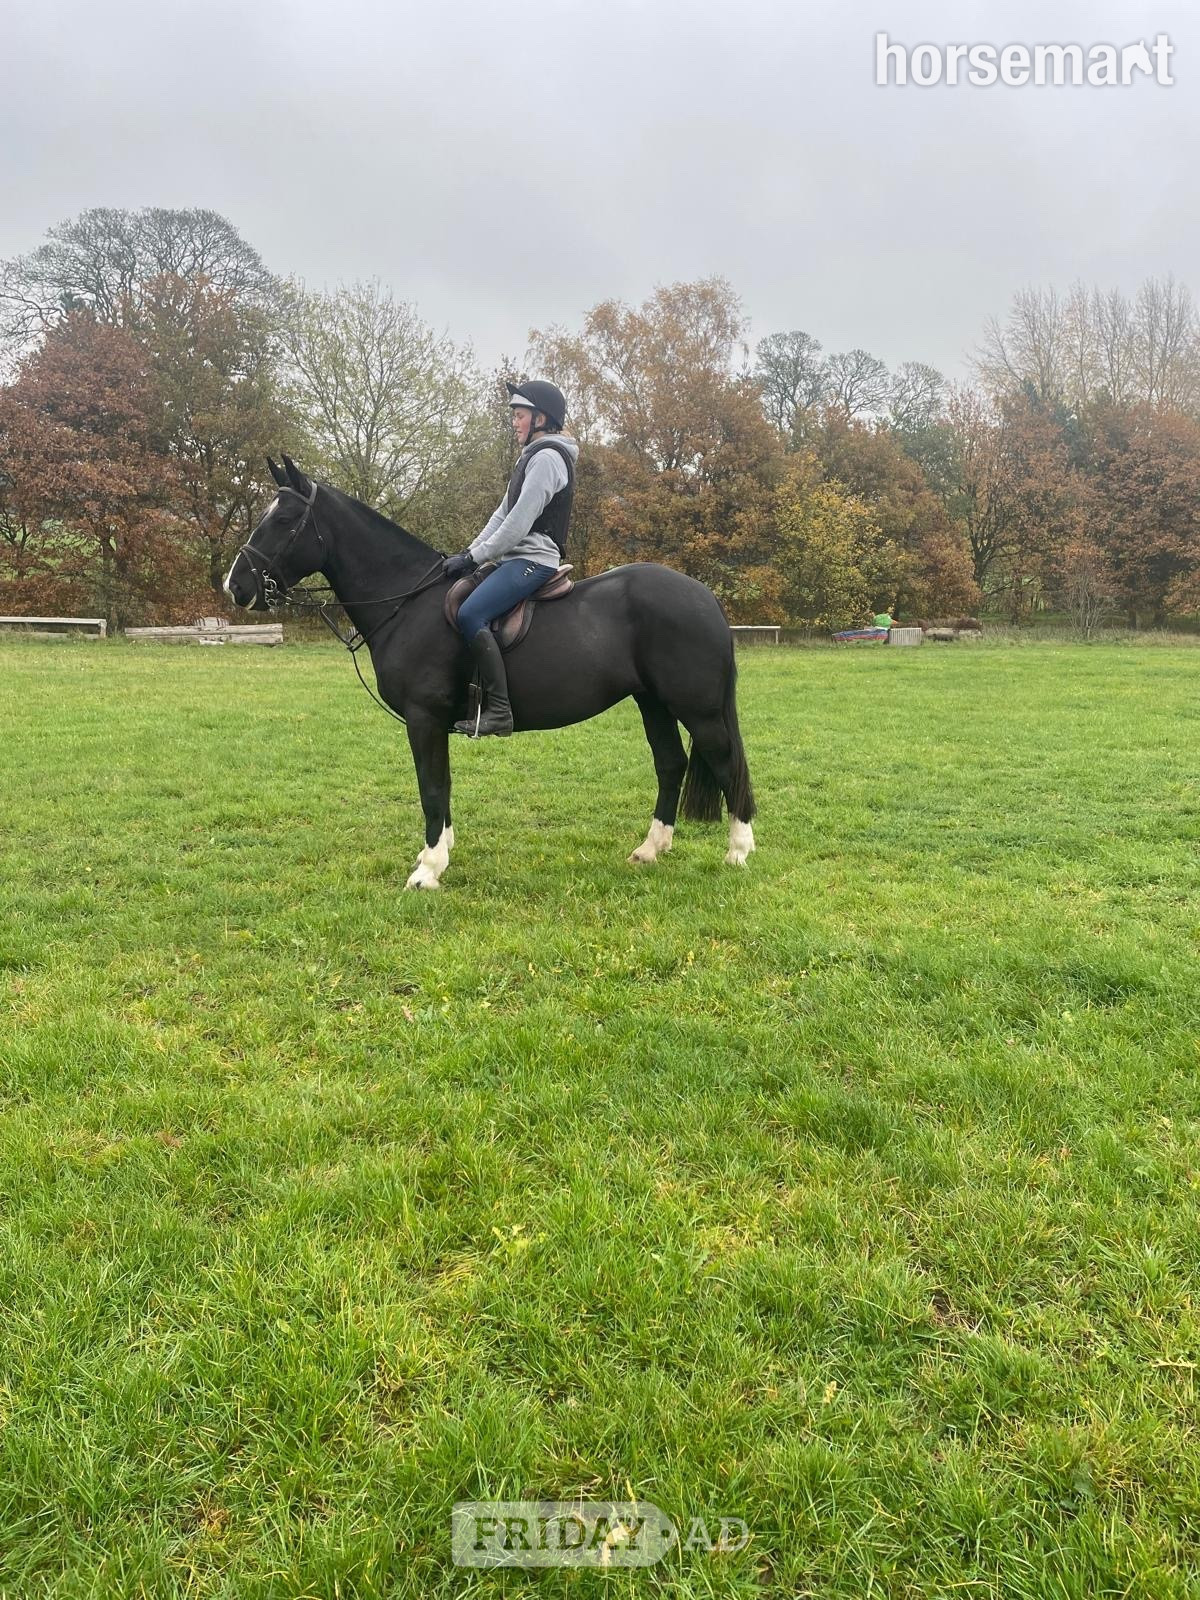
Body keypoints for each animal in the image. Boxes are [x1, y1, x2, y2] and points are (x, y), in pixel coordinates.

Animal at [224, 456, 756, 890]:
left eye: (285, 519)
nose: (236, 585)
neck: (408, 602)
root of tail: (703, 594)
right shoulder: (433, 723)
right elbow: (442, 786)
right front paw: (438, 854)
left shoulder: (424, 718)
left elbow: (431, 787)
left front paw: (427, 870)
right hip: (652, 702)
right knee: (671, 764)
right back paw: (650, 849)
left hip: (698, 708)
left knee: (725, 762)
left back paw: (738, 851)